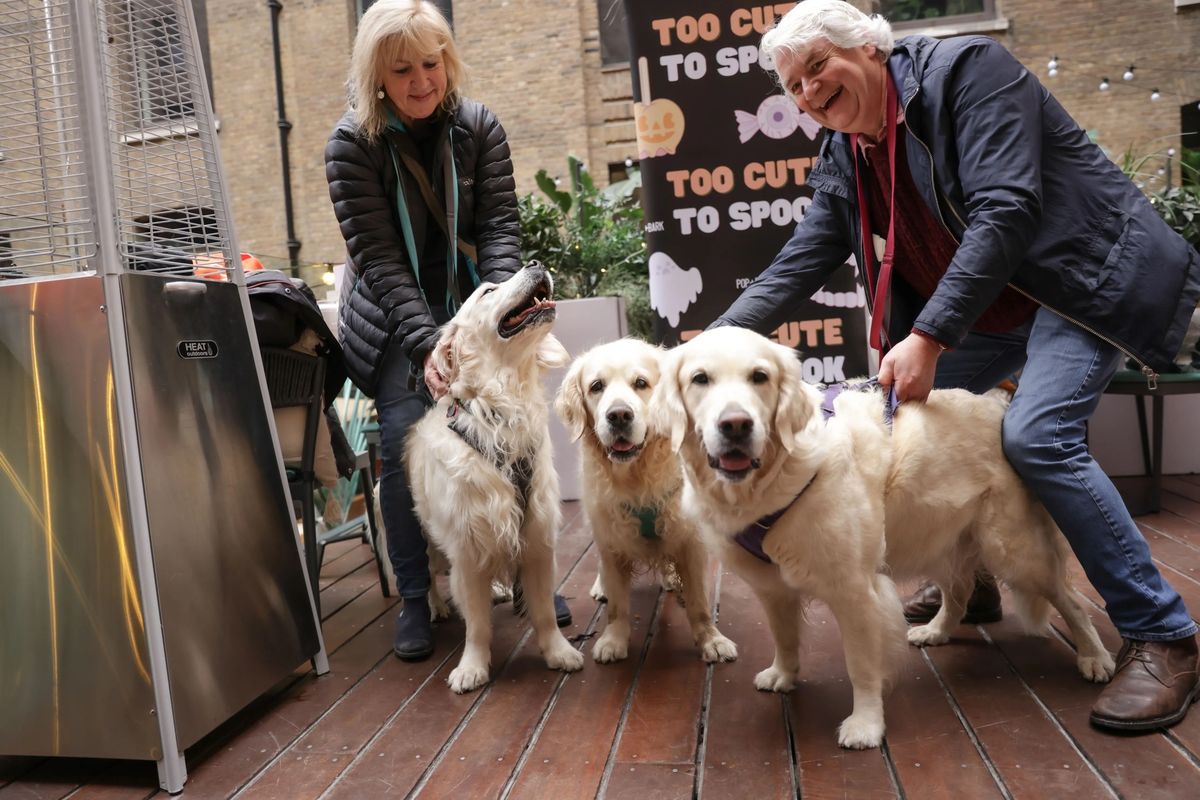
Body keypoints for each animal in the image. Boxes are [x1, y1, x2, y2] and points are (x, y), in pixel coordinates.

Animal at [408, 263, 585, 695]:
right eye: (488, 291)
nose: (536, 265)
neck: (503, 410)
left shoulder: (537, 538)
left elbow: (543, 612)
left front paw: (558, 652)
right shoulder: (466, 549)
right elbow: (476, 624)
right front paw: (471, 667)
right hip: (425, 536)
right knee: (428, 574)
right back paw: (435, 607)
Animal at [554, 340, 739, 666]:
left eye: (641, 383)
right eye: (596, 386)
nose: (618, 415)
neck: (637, 478)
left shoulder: (689, 540)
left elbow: (699, 604)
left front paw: (711, 640)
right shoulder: (611, 541)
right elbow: (617, 606)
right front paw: (614, 640)